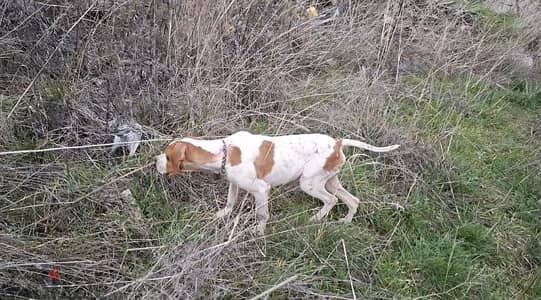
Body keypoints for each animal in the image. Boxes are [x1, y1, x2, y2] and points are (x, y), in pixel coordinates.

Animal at [154, 131, 398, 234]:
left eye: (166, 156)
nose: (155, 161)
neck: (224, 152)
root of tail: (337, 143)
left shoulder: (262, 190)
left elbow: (262, 214)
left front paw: (259, 231)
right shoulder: (234, 183)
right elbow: (230, 202)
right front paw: (221, 215)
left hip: (309, 183)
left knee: (330, 201)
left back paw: (315, 219)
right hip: (330, 181)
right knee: (353, 201)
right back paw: (345, 223)